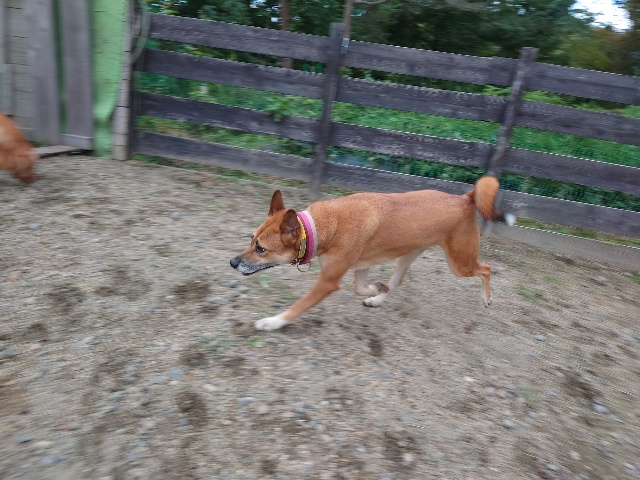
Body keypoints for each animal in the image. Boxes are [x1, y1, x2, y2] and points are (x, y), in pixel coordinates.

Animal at [230, 176, 515, 331]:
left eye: (261, 249)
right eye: (251, 240)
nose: (232, 262)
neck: (322, 227)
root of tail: (465, 199)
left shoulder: (327, 282)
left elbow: (297, 307)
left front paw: (272, 322)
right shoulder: (361, 266)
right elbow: (360, 288)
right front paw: (375, 290)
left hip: (459, 264)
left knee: (486, 269)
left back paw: (487, 298)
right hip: (407, 255)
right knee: (396, 282)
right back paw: (378, 298)